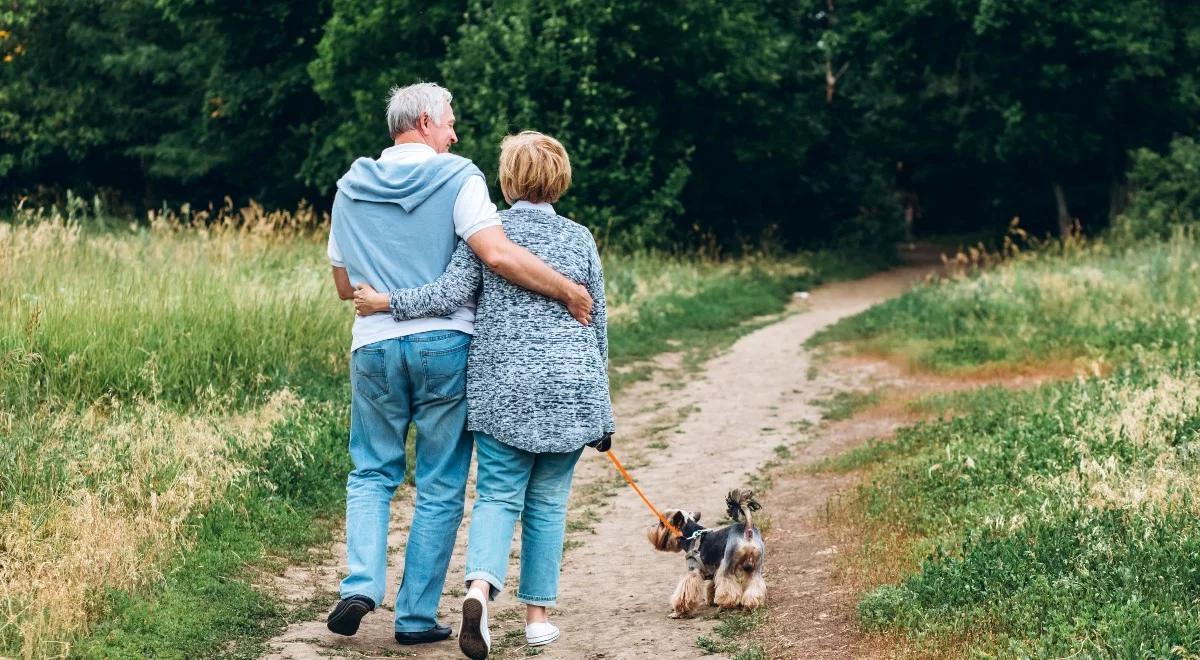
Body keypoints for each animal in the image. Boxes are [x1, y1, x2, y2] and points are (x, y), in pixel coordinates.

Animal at [648, 487, 768, 619]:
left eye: (661, 523)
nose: (651, 527)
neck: (691, 534)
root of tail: (748, 530)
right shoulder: (713, 570)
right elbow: (712, 585)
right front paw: (710, 600)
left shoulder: (693, 571)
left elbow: (684, 593)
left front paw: (678, 612)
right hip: (754, 566)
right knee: (754, 584)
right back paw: (750, 604)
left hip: (728, 564)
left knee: (728, 587)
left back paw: (724, 604)